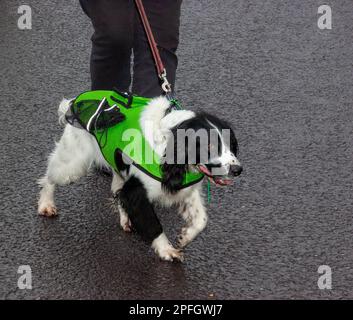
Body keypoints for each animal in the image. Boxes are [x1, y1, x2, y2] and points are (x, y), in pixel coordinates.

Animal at [38, 96, 242, 262]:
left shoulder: (185, 189)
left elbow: (201, 220)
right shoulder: (136, 191)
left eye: (231, 144)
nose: (238, 169)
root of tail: (74, 101)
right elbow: (153, 225)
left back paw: (126, 220)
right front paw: (167, 250)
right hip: (72, 164)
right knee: (49, 176)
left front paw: (185, 237)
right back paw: (46, 205)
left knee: (116, 190)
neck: (168, 142)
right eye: (209, 146)